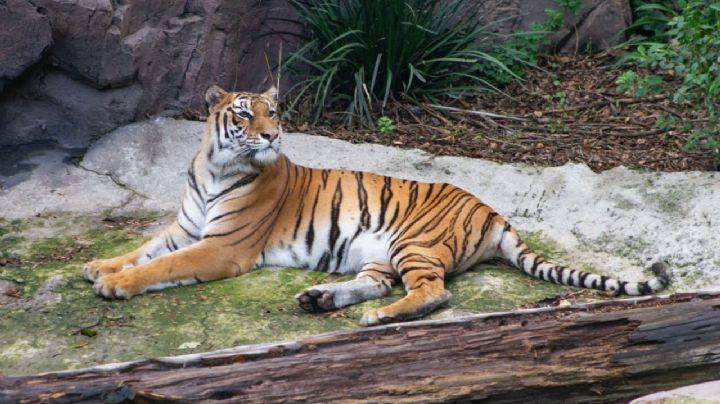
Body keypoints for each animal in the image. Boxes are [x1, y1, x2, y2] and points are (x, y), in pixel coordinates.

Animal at [81, 85, 670, 326]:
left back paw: (379, 318)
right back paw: (320, 299)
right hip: (376, 251)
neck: (215, 167)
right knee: (377, 283)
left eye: (275, 112)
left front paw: (115, 285)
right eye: (246, 114)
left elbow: (163, 265)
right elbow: (145, 249)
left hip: (413, 242)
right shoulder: (185, 228)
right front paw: (98, 266)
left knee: (431, 294)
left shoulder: (221, 247)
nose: (272, 135)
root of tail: (493, 211)